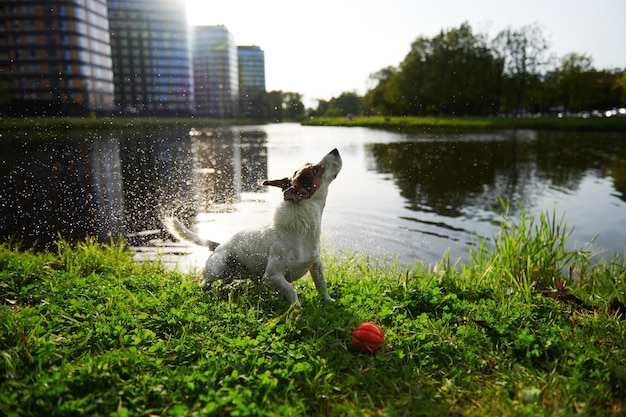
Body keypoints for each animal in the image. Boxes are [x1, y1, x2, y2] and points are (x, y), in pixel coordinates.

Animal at [165, 148, 342, 304]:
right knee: (205, 282)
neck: (303, 230)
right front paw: (296, 309)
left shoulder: (316, 264)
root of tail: (219, 245)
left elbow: (321, 284)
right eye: (315, 169)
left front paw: (328, 300)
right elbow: (291, 291)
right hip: (217, 267)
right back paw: (207, 291)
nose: (335, 150)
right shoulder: (273, 276)